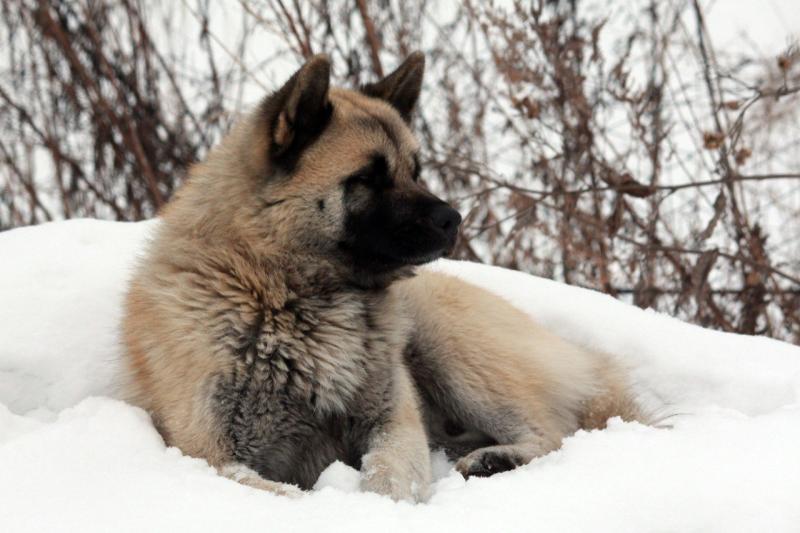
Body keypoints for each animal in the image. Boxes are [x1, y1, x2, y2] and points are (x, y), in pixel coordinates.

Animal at [120, 52, 644, 500]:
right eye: (368, 179)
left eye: (415, 170)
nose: (454, 219)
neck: (283, 294)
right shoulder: (211, 455)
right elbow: (290, 495)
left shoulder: (393, 423)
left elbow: (388, 478)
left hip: (448, 345)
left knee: (553, 434)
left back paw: (495, 460)